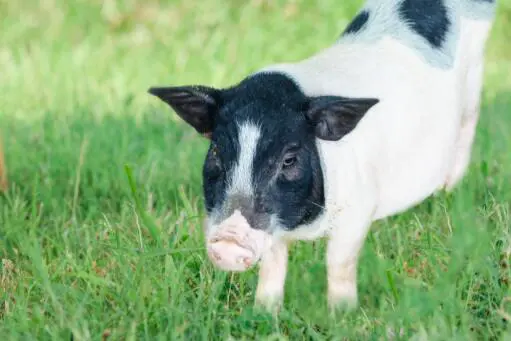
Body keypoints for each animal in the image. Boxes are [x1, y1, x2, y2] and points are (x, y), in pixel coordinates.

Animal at [147, 0, 496, 310]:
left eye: (289, 159)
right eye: (217, 150)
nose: (229, 240)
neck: (304, 227)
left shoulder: (357, 208)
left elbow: (338, 263)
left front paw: (341, 314)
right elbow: (273, 265)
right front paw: (264, 312)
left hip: (475, 80)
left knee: (468, 126)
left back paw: (448, 190)